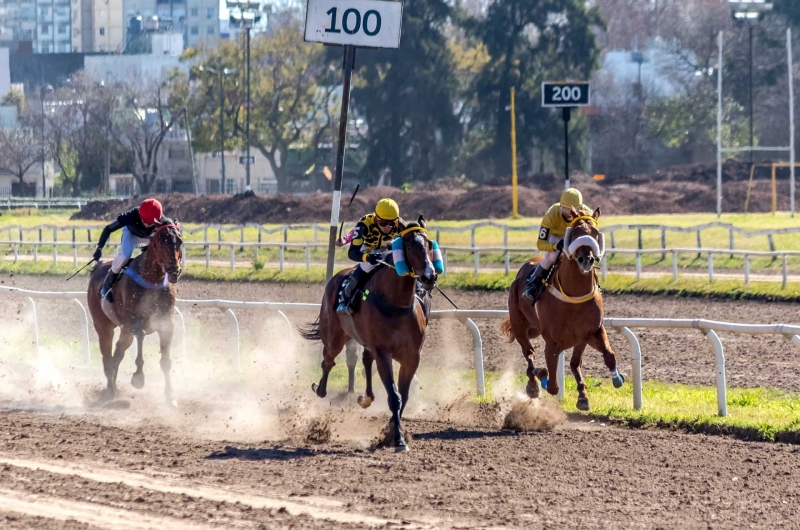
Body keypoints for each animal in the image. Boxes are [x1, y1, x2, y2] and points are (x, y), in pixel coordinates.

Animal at [86, 223, 184, 404]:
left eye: (179, 241)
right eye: (161, 242)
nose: (174, 271)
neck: (152, 280)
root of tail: (98, 267)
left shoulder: (166, 324)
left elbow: (165, 361)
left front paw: (170, 396)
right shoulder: (133, 322)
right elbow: (140, 338)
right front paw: (138, 377)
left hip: (124, 331)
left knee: (117, 353)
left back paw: (114, 387)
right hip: (103, 325)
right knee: (107, 356)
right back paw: (110, 390)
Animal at [298, 214, 438, 450]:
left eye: (428, 244)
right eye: (409, 245)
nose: (429, 277)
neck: (395, 303)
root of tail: (337, 276)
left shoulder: (411, 357)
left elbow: (404, 396)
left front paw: (392, 432)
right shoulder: (383, 352)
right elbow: (394, 396)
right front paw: (398, 439)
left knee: (364, 360)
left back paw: (366, 398)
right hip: (335, 335)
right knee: (328, 361)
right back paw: (320, 389)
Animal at [500, 206, 624, 408]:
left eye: (595, 232)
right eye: (574, 232)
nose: (586, 260)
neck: (574, 297)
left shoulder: (590, 333)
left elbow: (606, 356)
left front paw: (596, 389)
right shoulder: (553, 342)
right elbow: (552, 386)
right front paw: (542, 375)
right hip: (519, 325)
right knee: (529, 354)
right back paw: (533, 385)